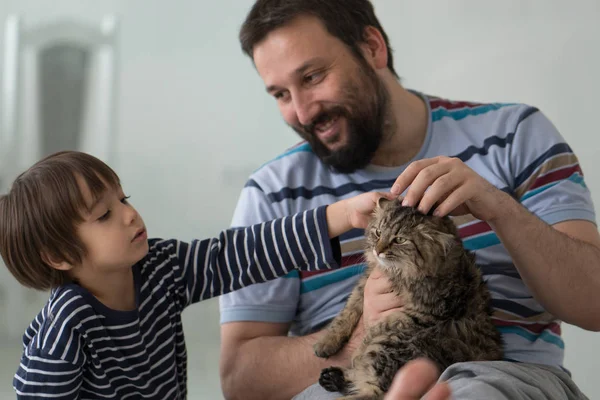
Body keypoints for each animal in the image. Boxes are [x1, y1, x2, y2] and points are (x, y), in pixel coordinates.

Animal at [312, 198, 504, 398]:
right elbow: (346, 313)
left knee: (372, 393)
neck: (397, 274)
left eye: (399, 240)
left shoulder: (428, 312)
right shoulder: (364, 285)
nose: (377, 251)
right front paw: (326, 343)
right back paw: (333, 377)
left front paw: (360, 349)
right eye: (378, 232)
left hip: (394, 347)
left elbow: (383, 325)